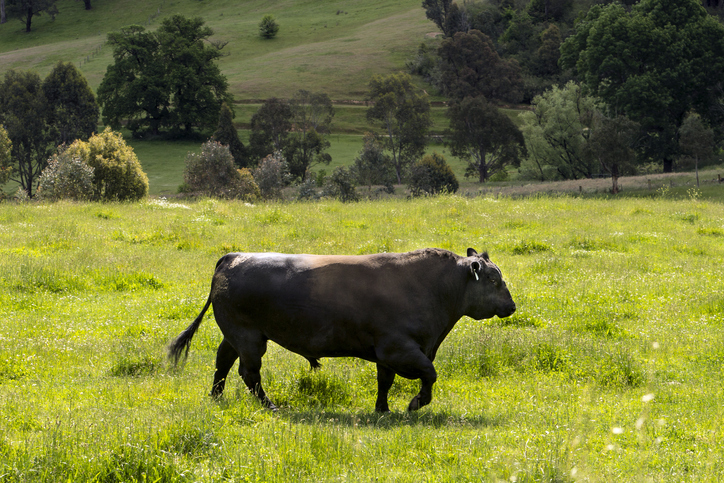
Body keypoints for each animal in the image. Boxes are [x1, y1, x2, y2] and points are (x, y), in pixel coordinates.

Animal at [169, 250, 516, 412]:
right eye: (494, 280)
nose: (512, 306)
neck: (432, 287)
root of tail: (234, 256)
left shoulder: (386, 354)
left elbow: (385, 382)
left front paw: (382, 409)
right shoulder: (398, 348)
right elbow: (429, 374)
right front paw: (415, 403)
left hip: (235, 336)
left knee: (223, 363)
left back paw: (216, 397)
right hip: (250, 338)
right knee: (249, 374)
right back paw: (270, 405)